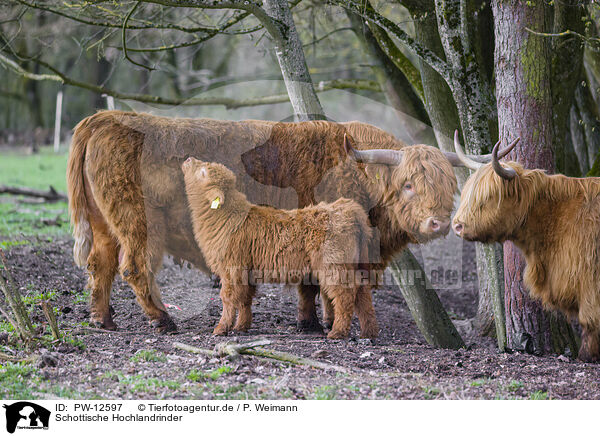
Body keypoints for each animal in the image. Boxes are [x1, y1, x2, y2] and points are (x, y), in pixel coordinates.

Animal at [180, 158, 378, 338]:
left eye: (203, 172)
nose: (188, 159)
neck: (227, 217)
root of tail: (350, 209)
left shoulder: (231, 269)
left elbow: (228, 298)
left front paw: (221, 328)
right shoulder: (247, 270)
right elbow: (245, 298)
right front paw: (241, 326)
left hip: (334, 265)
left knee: (345, 294)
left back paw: (338, 332)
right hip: (355, 263)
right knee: (362, 291)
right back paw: (368, 332)